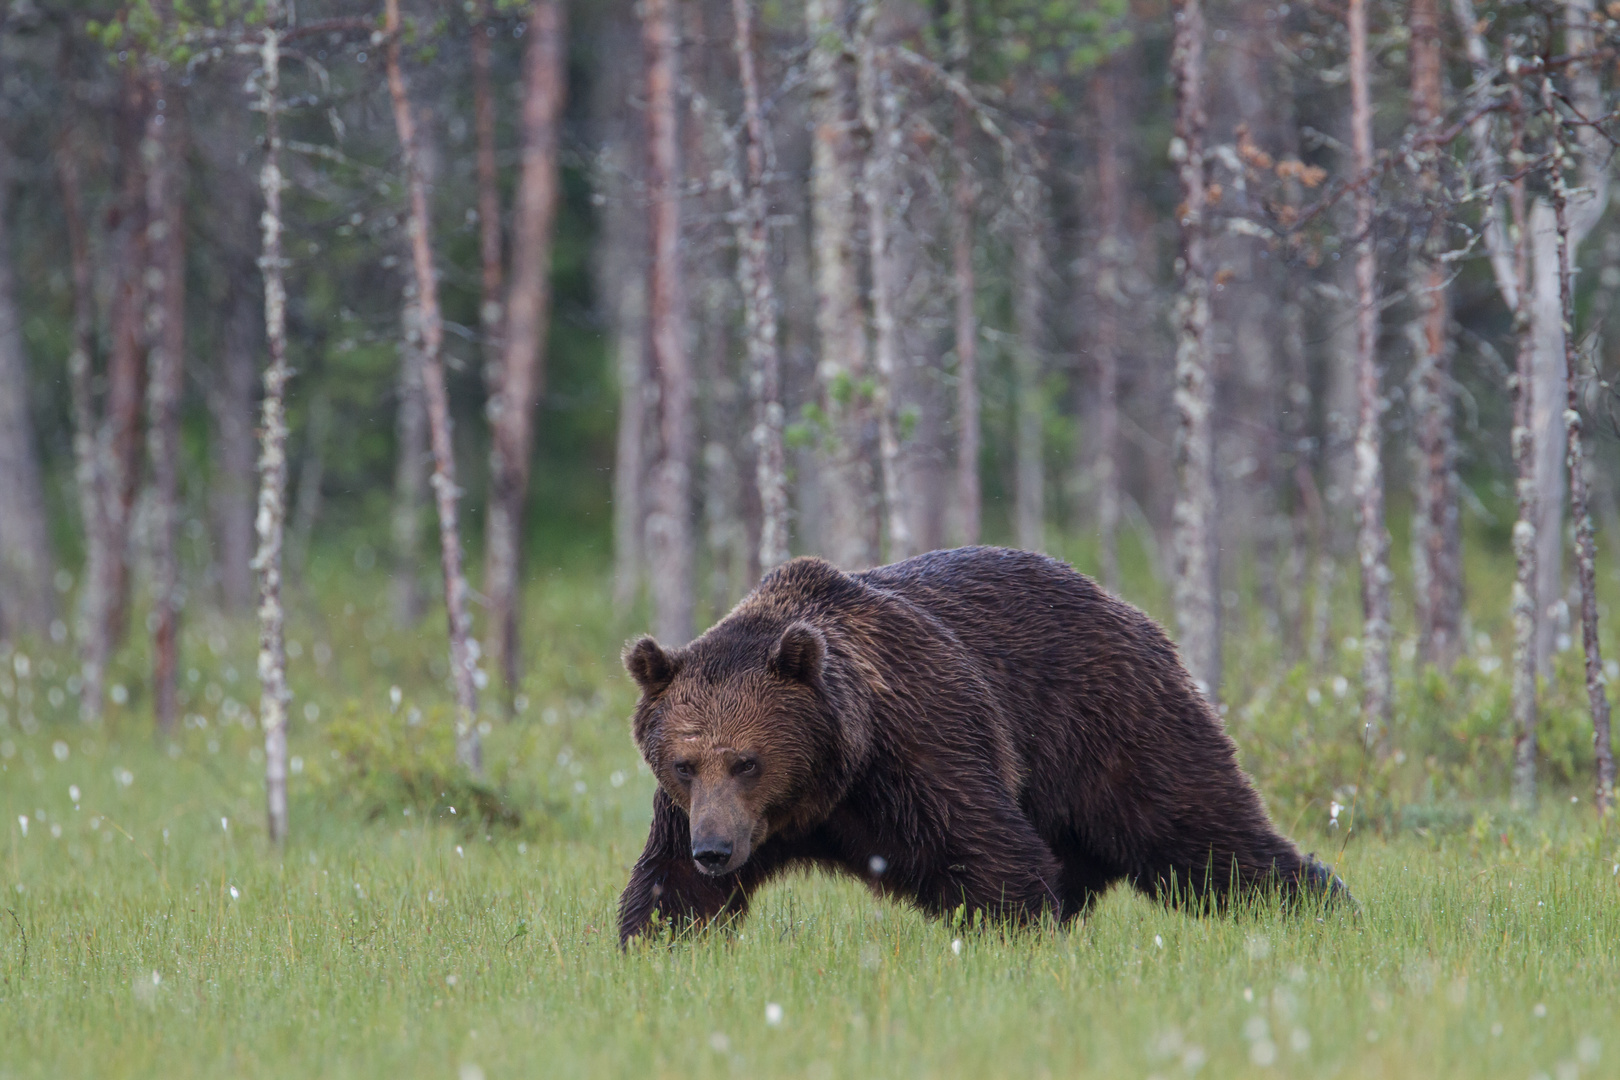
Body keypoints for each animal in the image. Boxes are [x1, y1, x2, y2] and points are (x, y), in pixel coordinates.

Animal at [615, 544, 1341, 939]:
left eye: (748, 761)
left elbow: (987, 851)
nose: (716, 849)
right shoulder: (689, 813)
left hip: (1109, 724)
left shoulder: (921, 745)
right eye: (684, 764)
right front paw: (658, 946)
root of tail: (1128, 609)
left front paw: (1019, 935)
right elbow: (670, 888)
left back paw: (1319, 905)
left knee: (1198, 830)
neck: (829, 784)